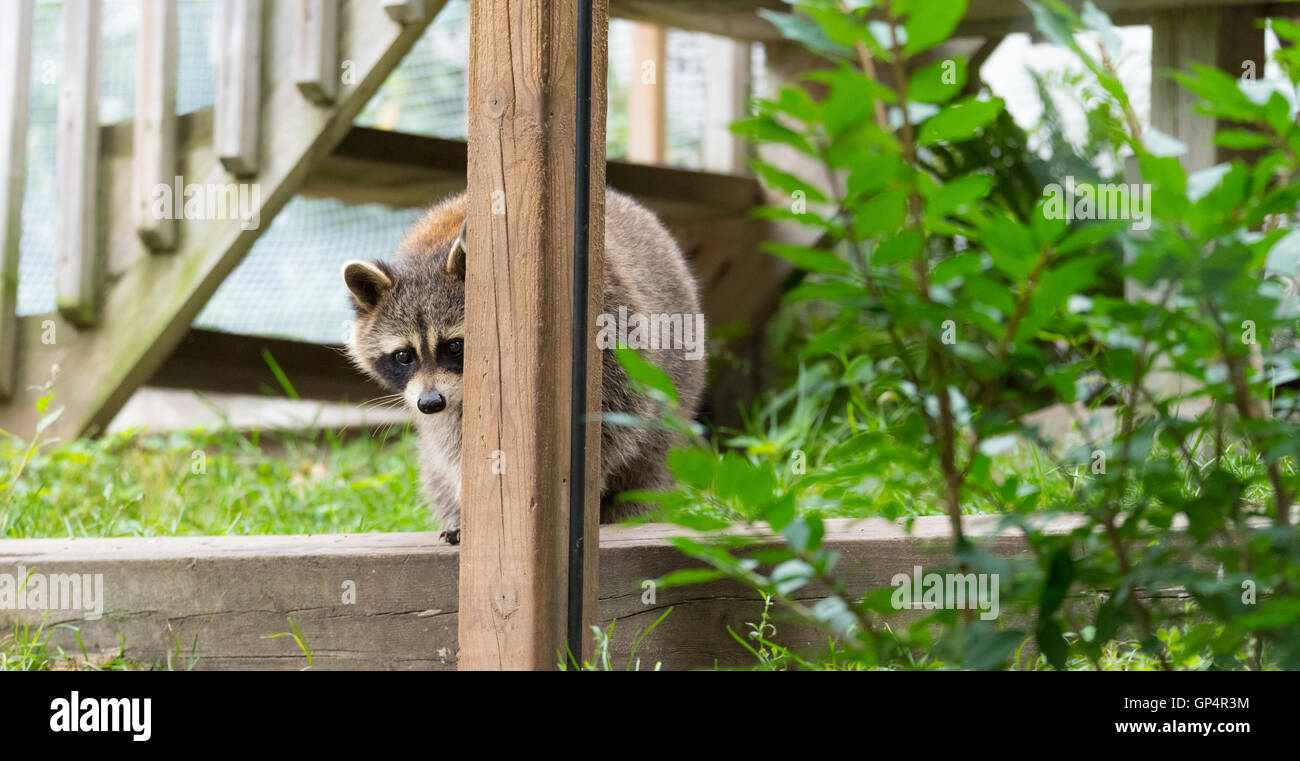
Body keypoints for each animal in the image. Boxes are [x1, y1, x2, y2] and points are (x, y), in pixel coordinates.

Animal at [345, 191, 707, 546]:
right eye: (403, 356)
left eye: (455, 346)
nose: (430, 403)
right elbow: (453, 444)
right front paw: (469, 504)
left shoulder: (608, 334)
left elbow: (608, 424)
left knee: (648, 461)